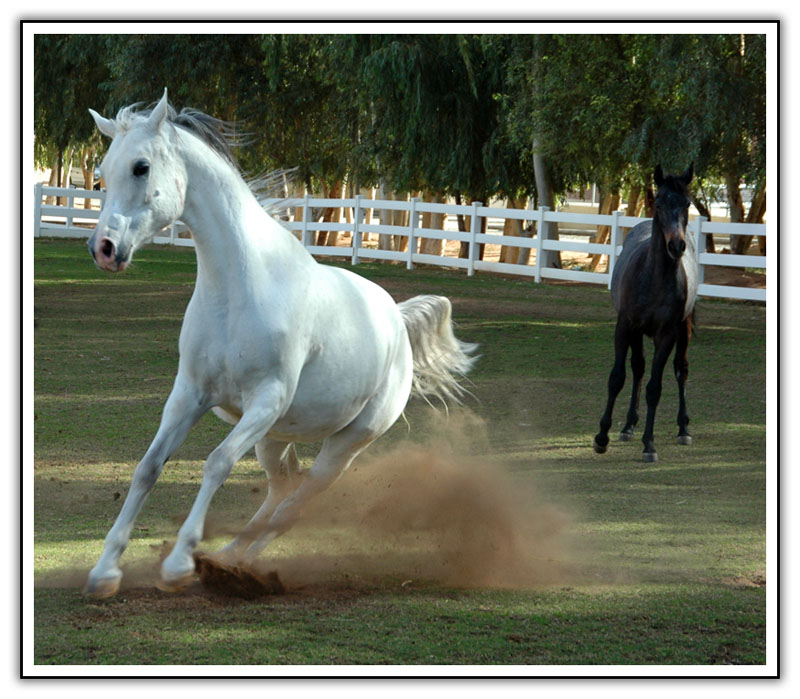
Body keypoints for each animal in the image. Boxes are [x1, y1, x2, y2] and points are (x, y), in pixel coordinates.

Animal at [84, 90, 478, 600]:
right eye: (101, 174)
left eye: (141, 167)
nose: (104, 249)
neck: (239, 288)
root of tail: (396, 317)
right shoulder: (189, 394)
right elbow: (148, 467)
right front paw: (105, 571)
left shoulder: (266, 399)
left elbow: (216, 463)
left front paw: (177, 564)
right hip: (274, 439)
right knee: (282, 489)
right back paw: (228, 558)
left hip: (344, 444)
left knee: (295, 504)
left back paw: (229, 564)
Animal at [592, 163, 696, 460]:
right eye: (659, 203)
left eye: (687, 203)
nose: (676, 246)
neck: (654, 279)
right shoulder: (625, 326)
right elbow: (617, 378)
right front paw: (601, 437)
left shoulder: (667, 335)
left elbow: (655, 388)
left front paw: (649, 444)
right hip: (637, 333)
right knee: (637, 367)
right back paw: (628, 425)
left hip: (684, 329)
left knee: (680, 369)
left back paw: (683, 428)